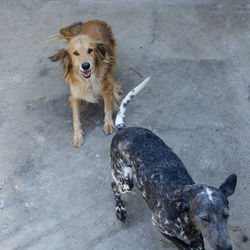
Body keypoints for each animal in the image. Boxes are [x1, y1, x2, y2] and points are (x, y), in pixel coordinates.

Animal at [110, 77, 237, 249]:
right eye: (204, 218)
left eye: (226, 215)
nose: (226, 247)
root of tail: (121, 129)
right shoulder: (158, 225)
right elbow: (181, 244)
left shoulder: (198, 238)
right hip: (125, 180)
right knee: (114, 186)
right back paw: (120, 210)